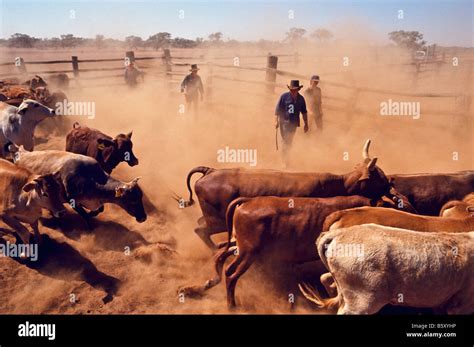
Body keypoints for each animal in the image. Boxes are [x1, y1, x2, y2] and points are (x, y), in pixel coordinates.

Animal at [178, 140, 412, 251]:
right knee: (201, 230)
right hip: (216, 221)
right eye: (379, 178)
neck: (339, 183)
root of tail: (210, 171)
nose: (393, 188)